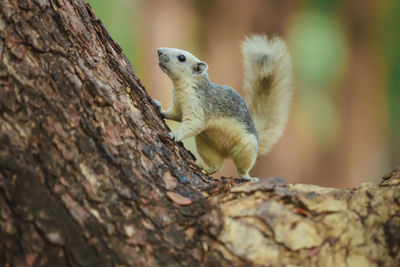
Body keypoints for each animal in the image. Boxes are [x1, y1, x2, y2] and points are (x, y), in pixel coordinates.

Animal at [155, 35, 292, 182]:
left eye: (181, 58)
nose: (159, 51)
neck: (182, 86)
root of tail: (226, 152)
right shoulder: (178, 106)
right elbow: (174, 114)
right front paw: (159, 108)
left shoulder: (198, 104)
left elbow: (194, 123)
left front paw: (175, 135)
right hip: (208, 147)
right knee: (216, 166)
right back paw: (204, 168)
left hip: (246, 149)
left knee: (242, 168)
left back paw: (248, 177)